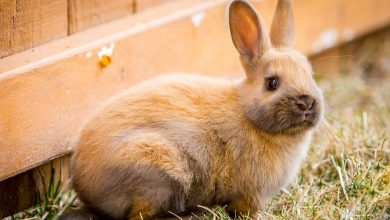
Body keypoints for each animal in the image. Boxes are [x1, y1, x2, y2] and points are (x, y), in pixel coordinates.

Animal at [67, 0, 322, 219]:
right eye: (272, 83)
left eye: (310, 74)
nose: (306, 103)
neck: (249, 115)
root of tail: (83, 181)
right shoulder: (251, 194)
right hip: (157, 174)